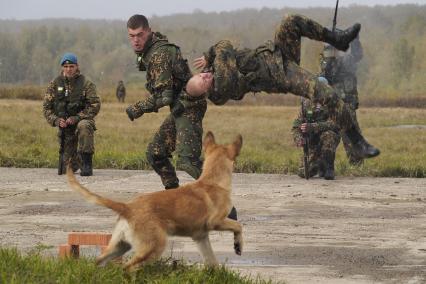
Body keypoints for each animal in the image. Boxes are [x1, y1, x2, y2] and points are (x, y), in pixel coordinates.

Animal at [68, 131, 245, 270]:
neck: (212, 181)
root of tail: (128, 207)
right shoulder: (216, 221)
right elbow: (238, 226)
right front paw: (238, 246)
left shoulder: (200, 237)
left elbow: (212, 262)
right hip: (154, 247)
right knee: (128, 268)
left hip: (119, 246)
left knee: (99, 262)